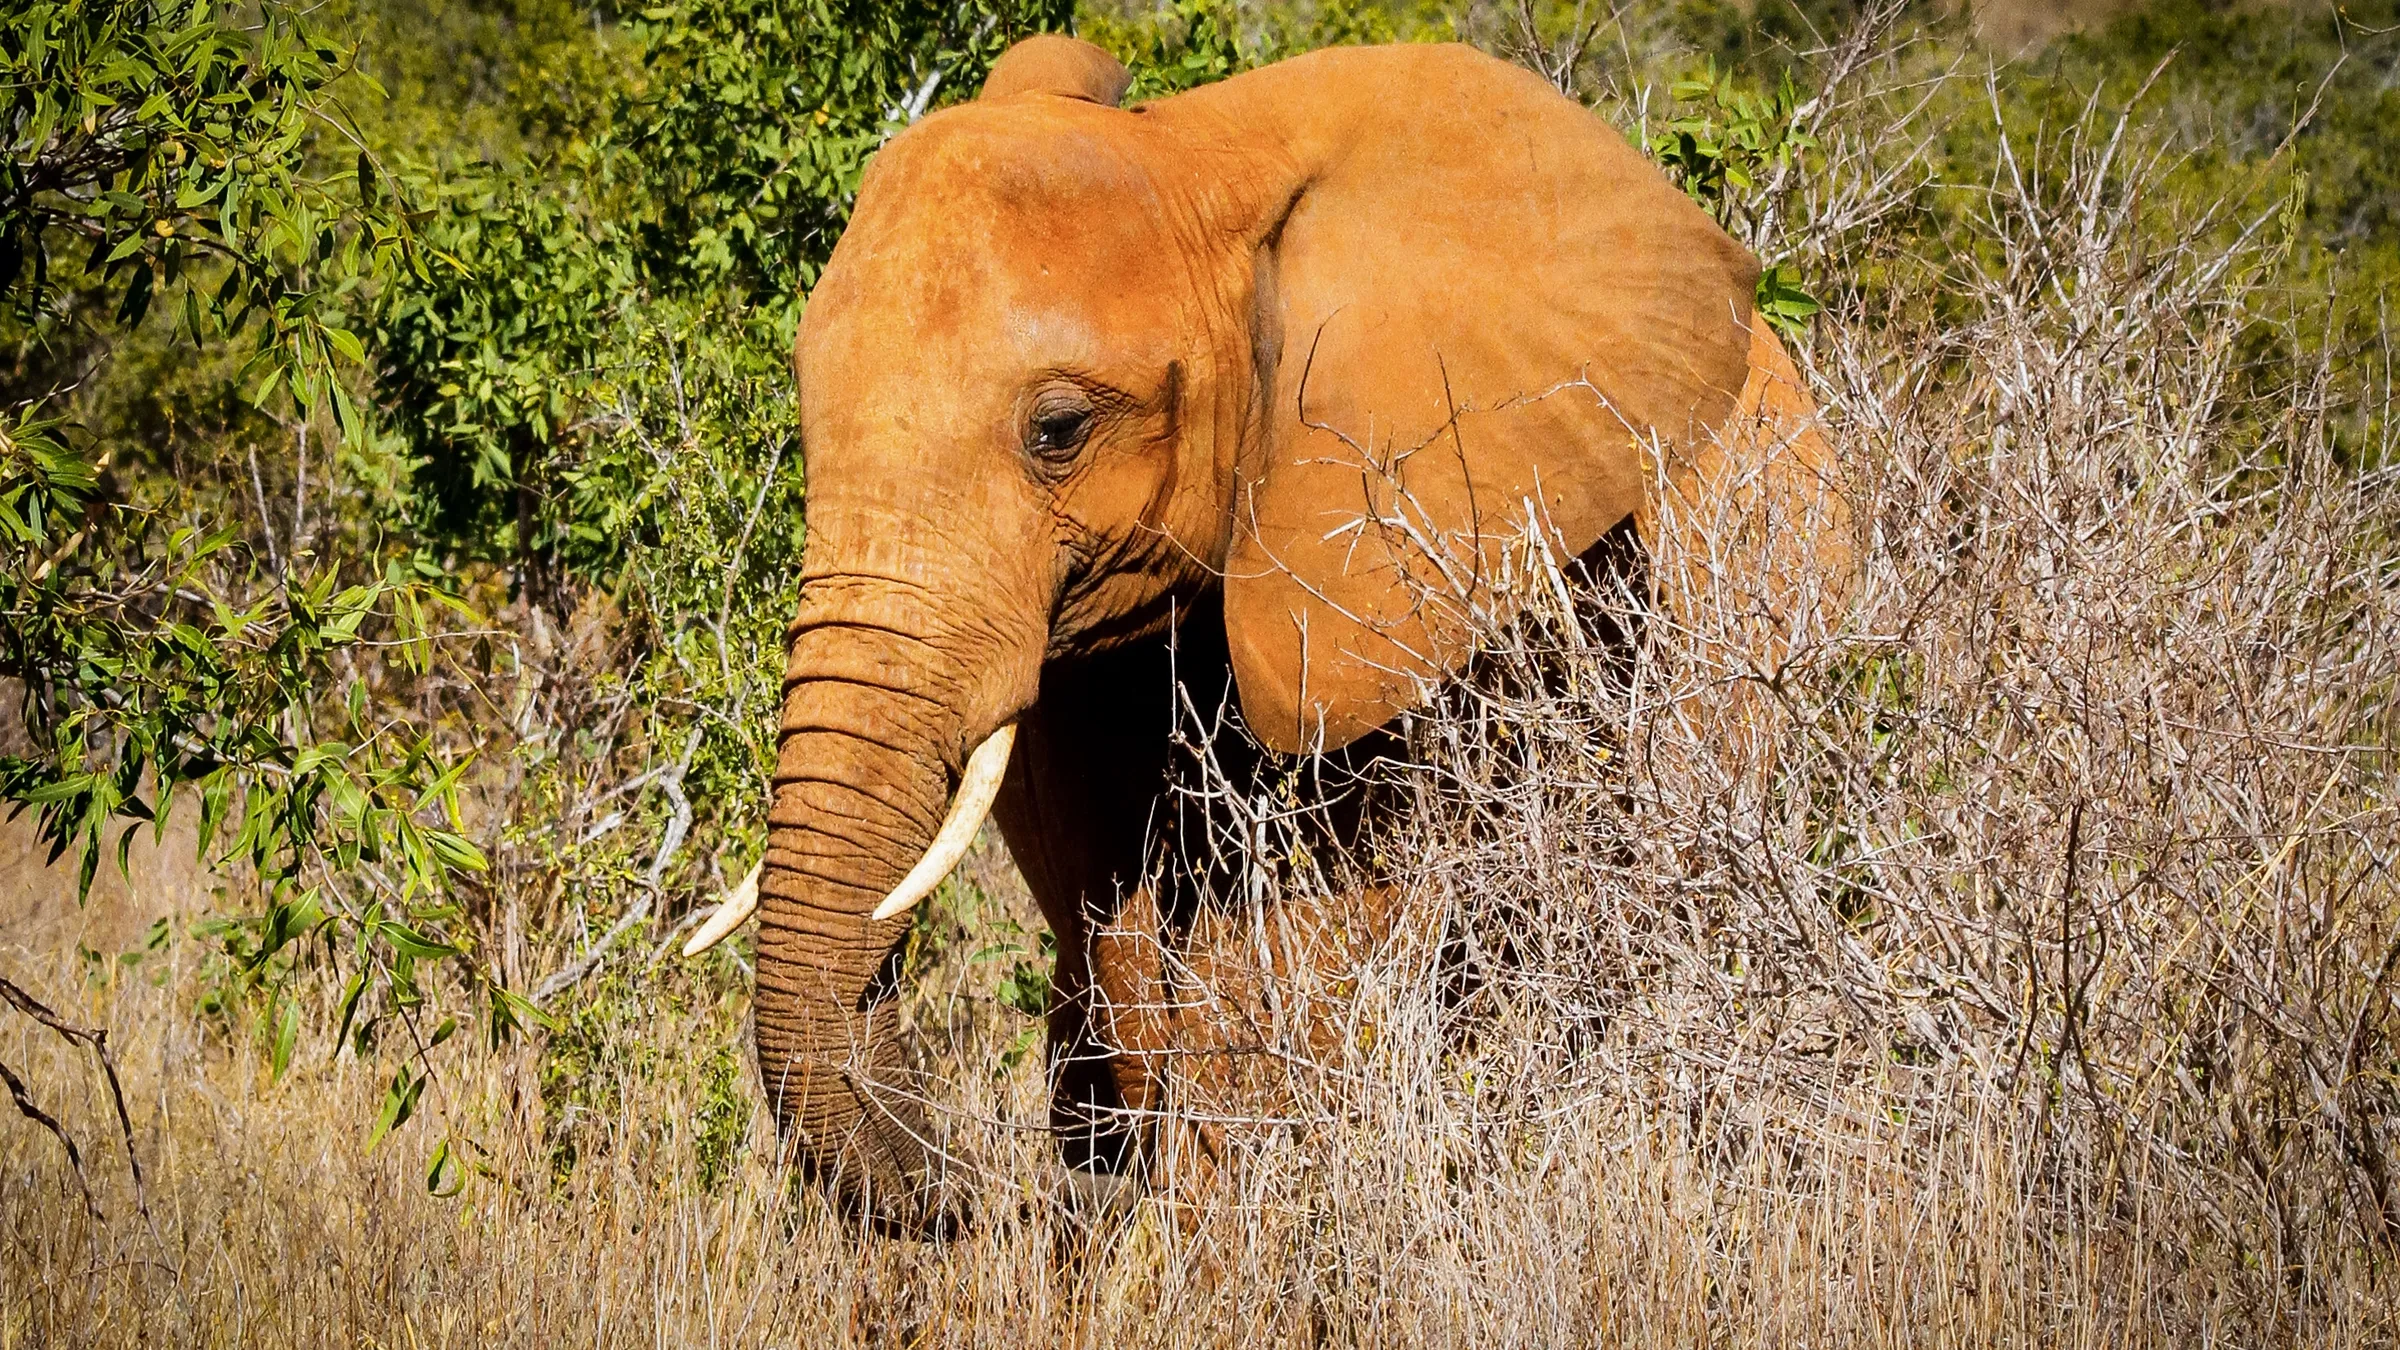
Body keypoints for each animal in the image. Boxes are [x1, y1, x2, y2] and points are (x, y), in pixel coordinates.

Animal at [680, 33, 1842, 1232]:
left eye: (1059, 431)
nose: (978, 1191)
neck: (1196, 154)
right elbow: (1116, 905)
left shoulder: (1446, 564)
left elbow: (1314, 923)